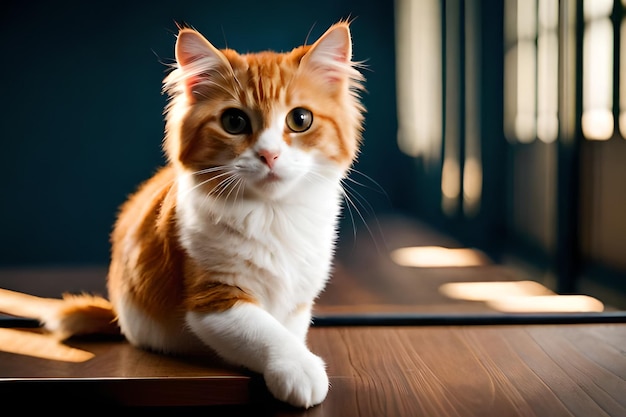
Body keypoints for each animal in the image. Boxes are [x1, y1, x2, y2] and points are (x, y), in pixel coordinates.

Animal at [0, 21, 366, 408]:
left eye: (300, 119)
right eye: (234, 121)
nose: (269, 155)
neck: (273, 213)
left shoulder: (298, 299)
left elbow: (288, 328)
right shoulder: (213, 298)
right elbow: (267, 333)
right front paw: (298, 368)